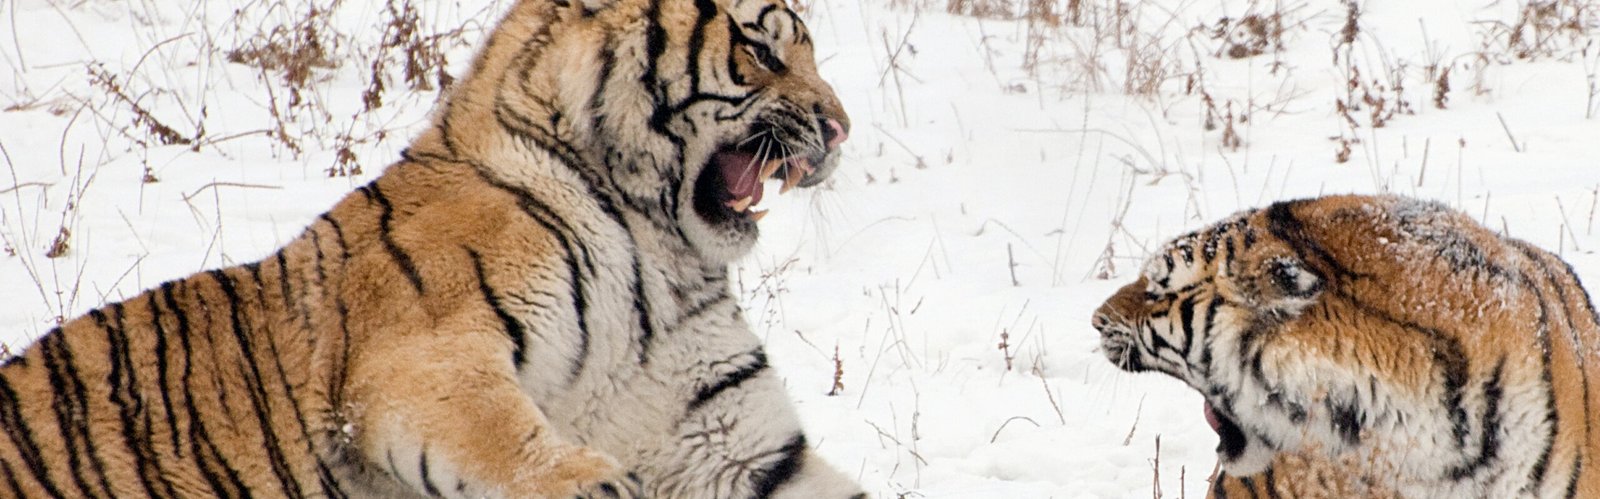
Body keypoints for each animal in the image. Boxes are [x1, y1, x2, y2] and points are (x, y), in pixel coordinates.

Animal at [0, 0, 865, 496]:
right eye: (761, 49)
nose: (841, 128)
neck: (661, 251)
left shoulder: (722, 440)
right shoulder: (420, 354)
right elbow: (500, 432)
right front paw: (589, 479)